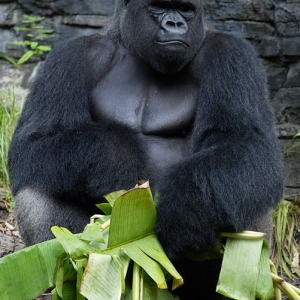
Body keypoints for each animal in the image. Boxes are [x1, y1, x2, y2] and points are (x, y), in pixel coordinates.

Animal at [7, 1, 284, 298]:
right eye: (159, 7)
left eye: (186, 9)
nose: (175, 24)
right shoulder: (72, 56)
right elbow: (34, 141)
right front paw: (113, 156)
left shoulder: (233, 55)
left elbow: (247, 144)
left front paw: (189, 208)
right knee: (39, 184)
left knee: (241, 190)